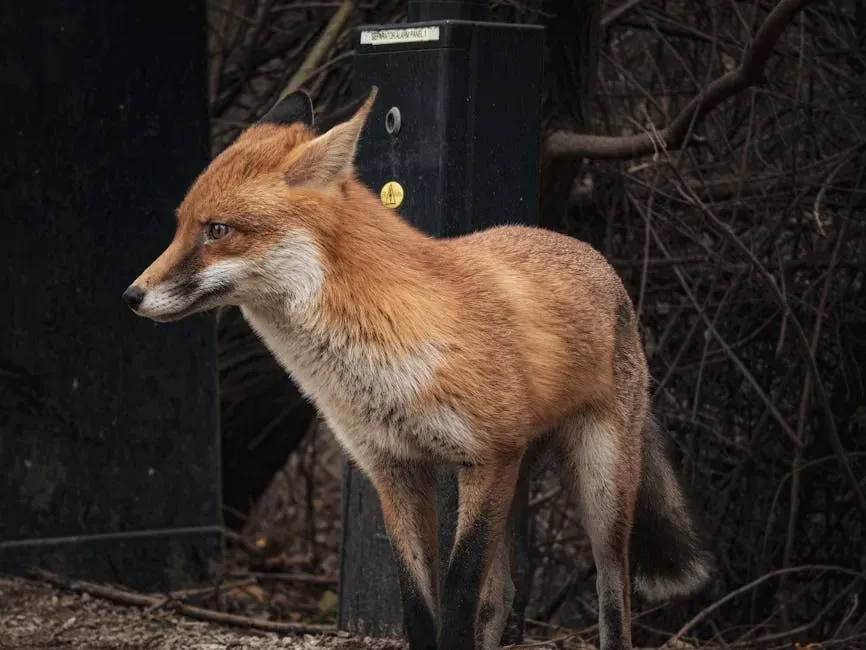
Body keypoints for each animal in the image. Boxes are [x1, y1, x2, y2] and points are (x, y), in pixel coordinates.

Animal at [122, 87, 712, 650]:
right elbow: (419, 609)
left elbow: (457, 598)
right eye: (181, 226)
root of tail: (594, 258)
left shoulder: (487, 460)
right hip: (518, 479)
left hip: (600, 488)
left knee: (614, 598)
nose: (131, 296)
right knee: (503, 594)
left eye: (217, 230)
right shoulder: (394, 470)